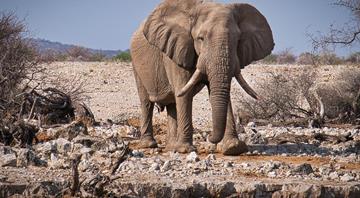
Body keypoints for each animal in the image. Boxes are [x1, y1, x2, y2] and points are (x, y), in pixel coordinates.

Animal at [131, 0, 274, 155]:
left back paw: (171, 147)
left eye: (237, 40)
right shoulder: (177, 49)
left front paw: (233, 148)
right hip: (136, 66)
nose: (209, 137)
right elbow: (184, 93)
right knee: (146, 102)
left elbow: (219, 92)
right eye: (200, 38)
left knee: (172, 105)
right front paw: (185, 149)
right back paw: (149, 145)